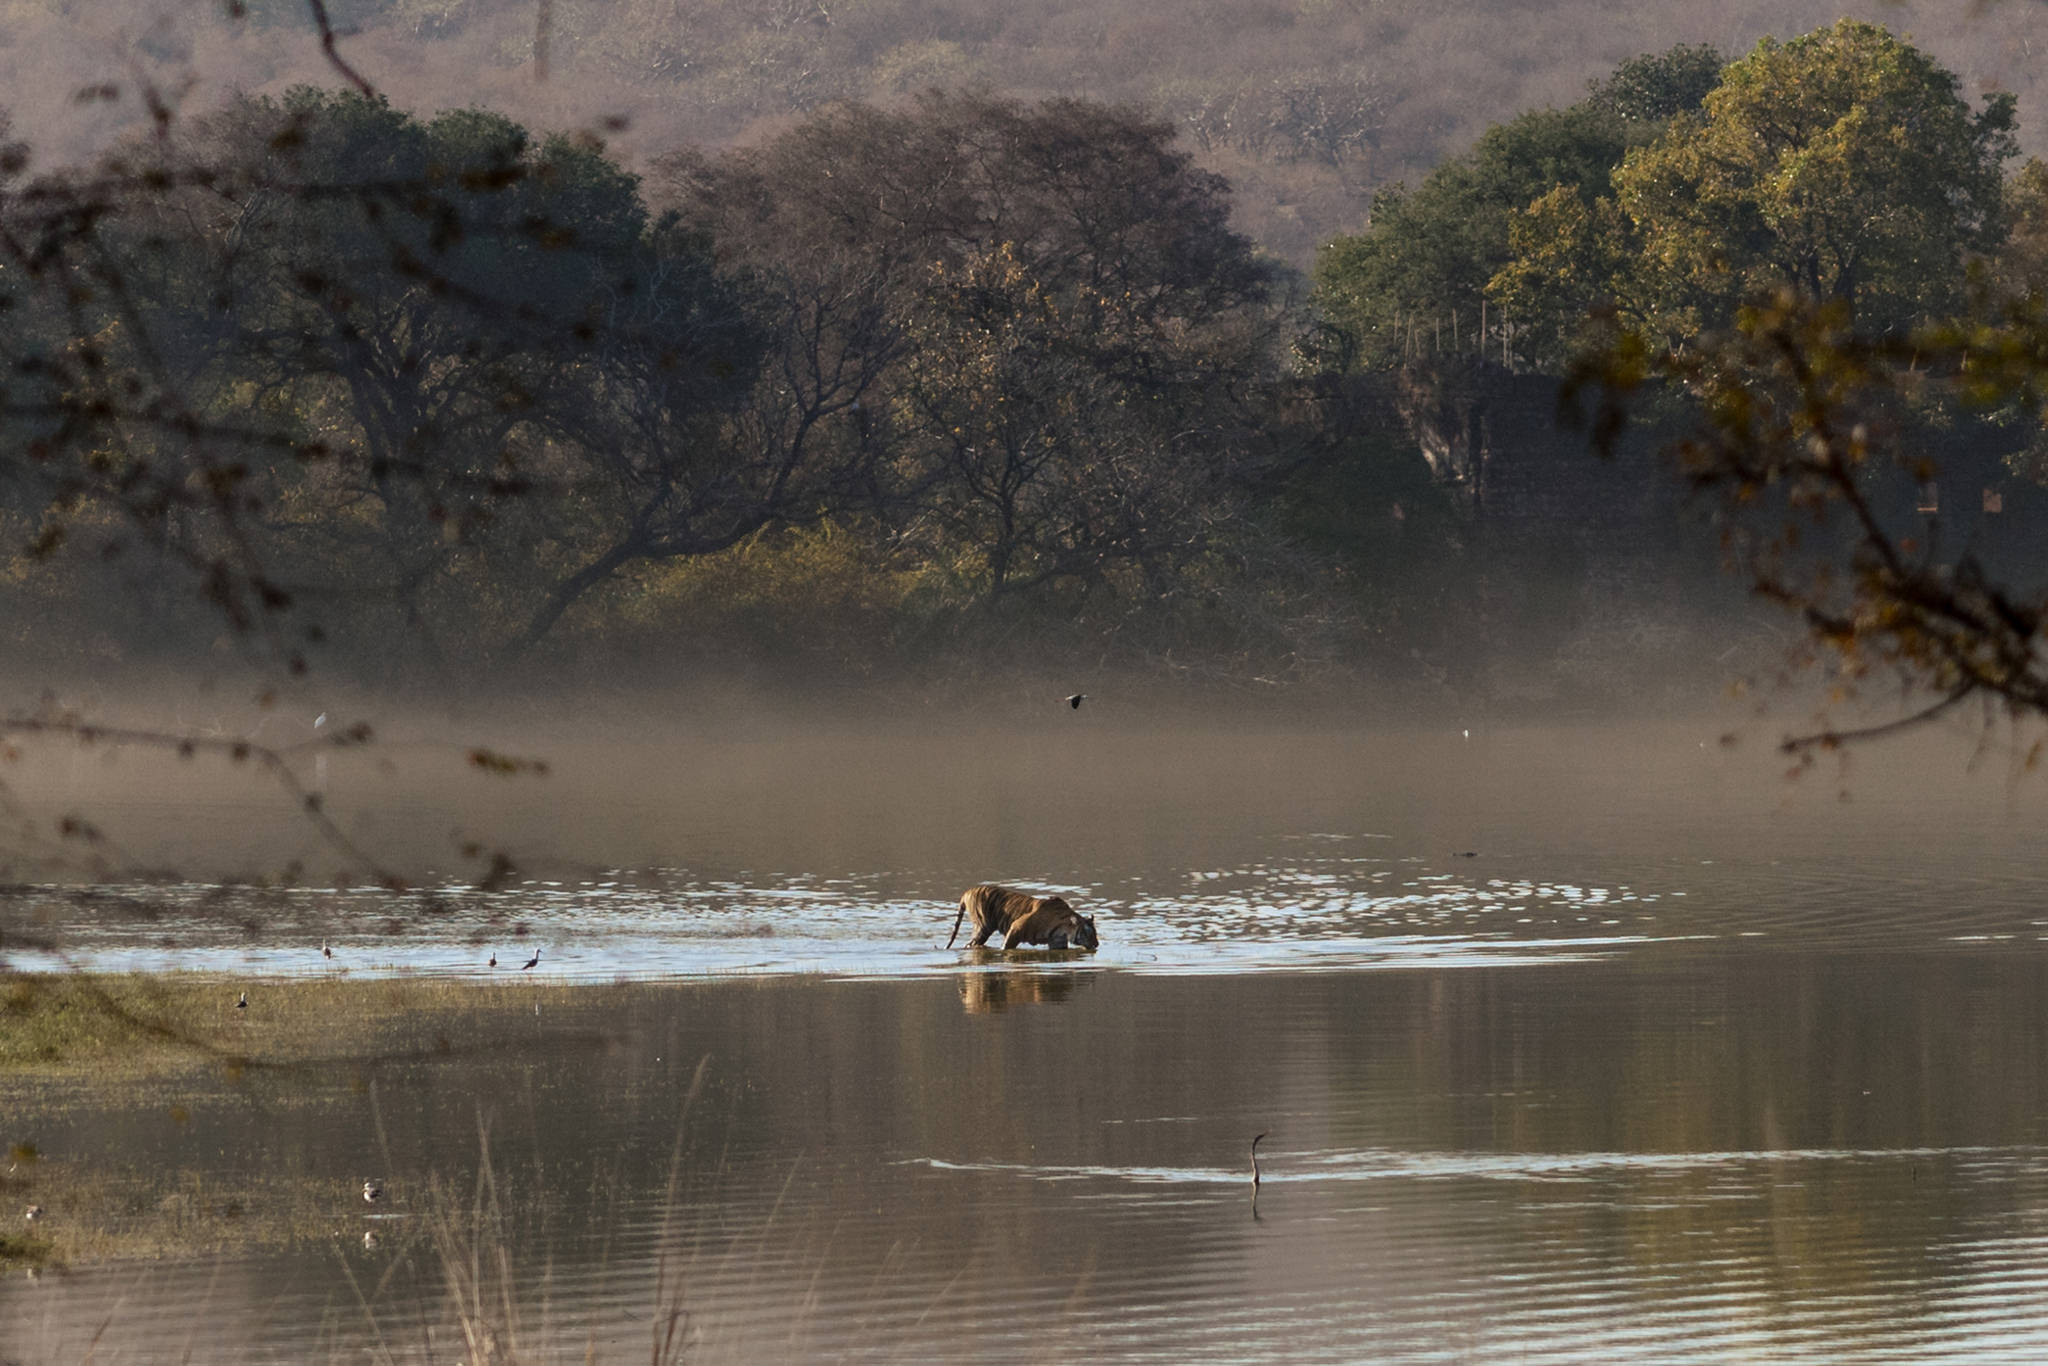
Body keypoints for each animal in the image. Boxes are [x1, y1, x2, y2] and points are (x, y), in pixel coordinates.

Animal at [947, 883, 1100, 951]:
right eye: (1089, 933)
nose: (1097, 944)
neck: (1063, 929)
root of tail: (968, 891)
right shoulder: (1015, 928)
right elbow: (1006, 947)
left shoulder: (1057, 942)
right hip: (983, 928)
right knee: (970, 944)